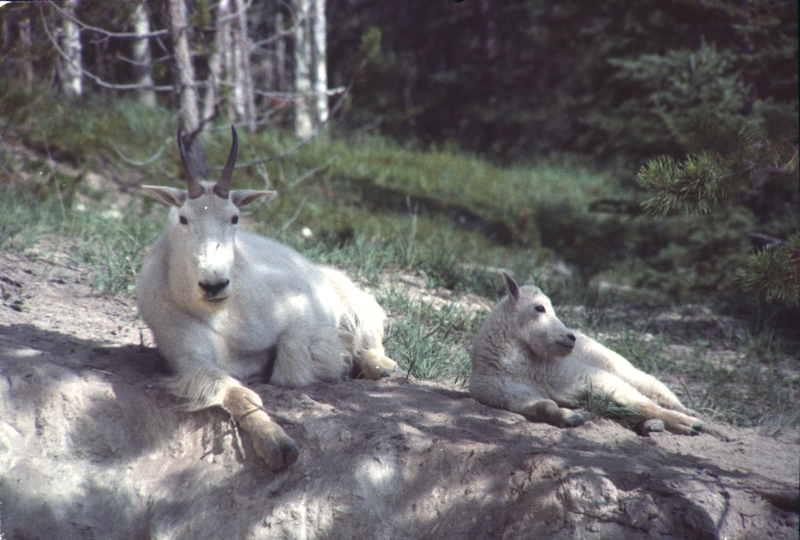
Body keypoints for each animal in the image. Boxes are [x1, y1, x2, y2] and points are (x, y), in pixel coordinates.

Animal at [139, 125, 400, 468]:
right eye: (183, 219)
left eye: (234, 217)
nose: (214, 285)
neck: (221, 314)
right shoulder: (189, 359)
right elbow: (239, 393)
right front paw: (277, 444)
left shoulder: (301, 319)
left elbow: (289, 372)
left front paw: (335, 365)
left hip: (352, 299)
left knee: (369, 335)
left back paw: (379, 365)